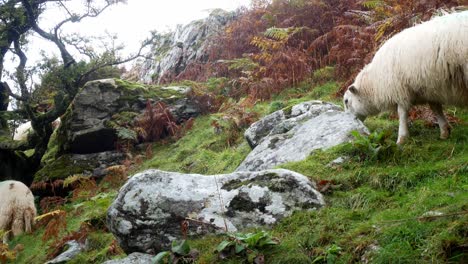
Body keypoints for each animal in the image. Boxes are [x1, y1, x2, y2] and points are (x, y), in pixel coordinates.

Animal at [344, 11, 468, 144]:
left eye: (346, 101)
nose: (348, 124)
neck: (375, 83)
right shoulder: (430, 89)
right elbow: (436, 109)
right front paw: (445, 131)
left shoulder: (399, 89)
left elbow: (402, 113)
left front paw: (401, 138)